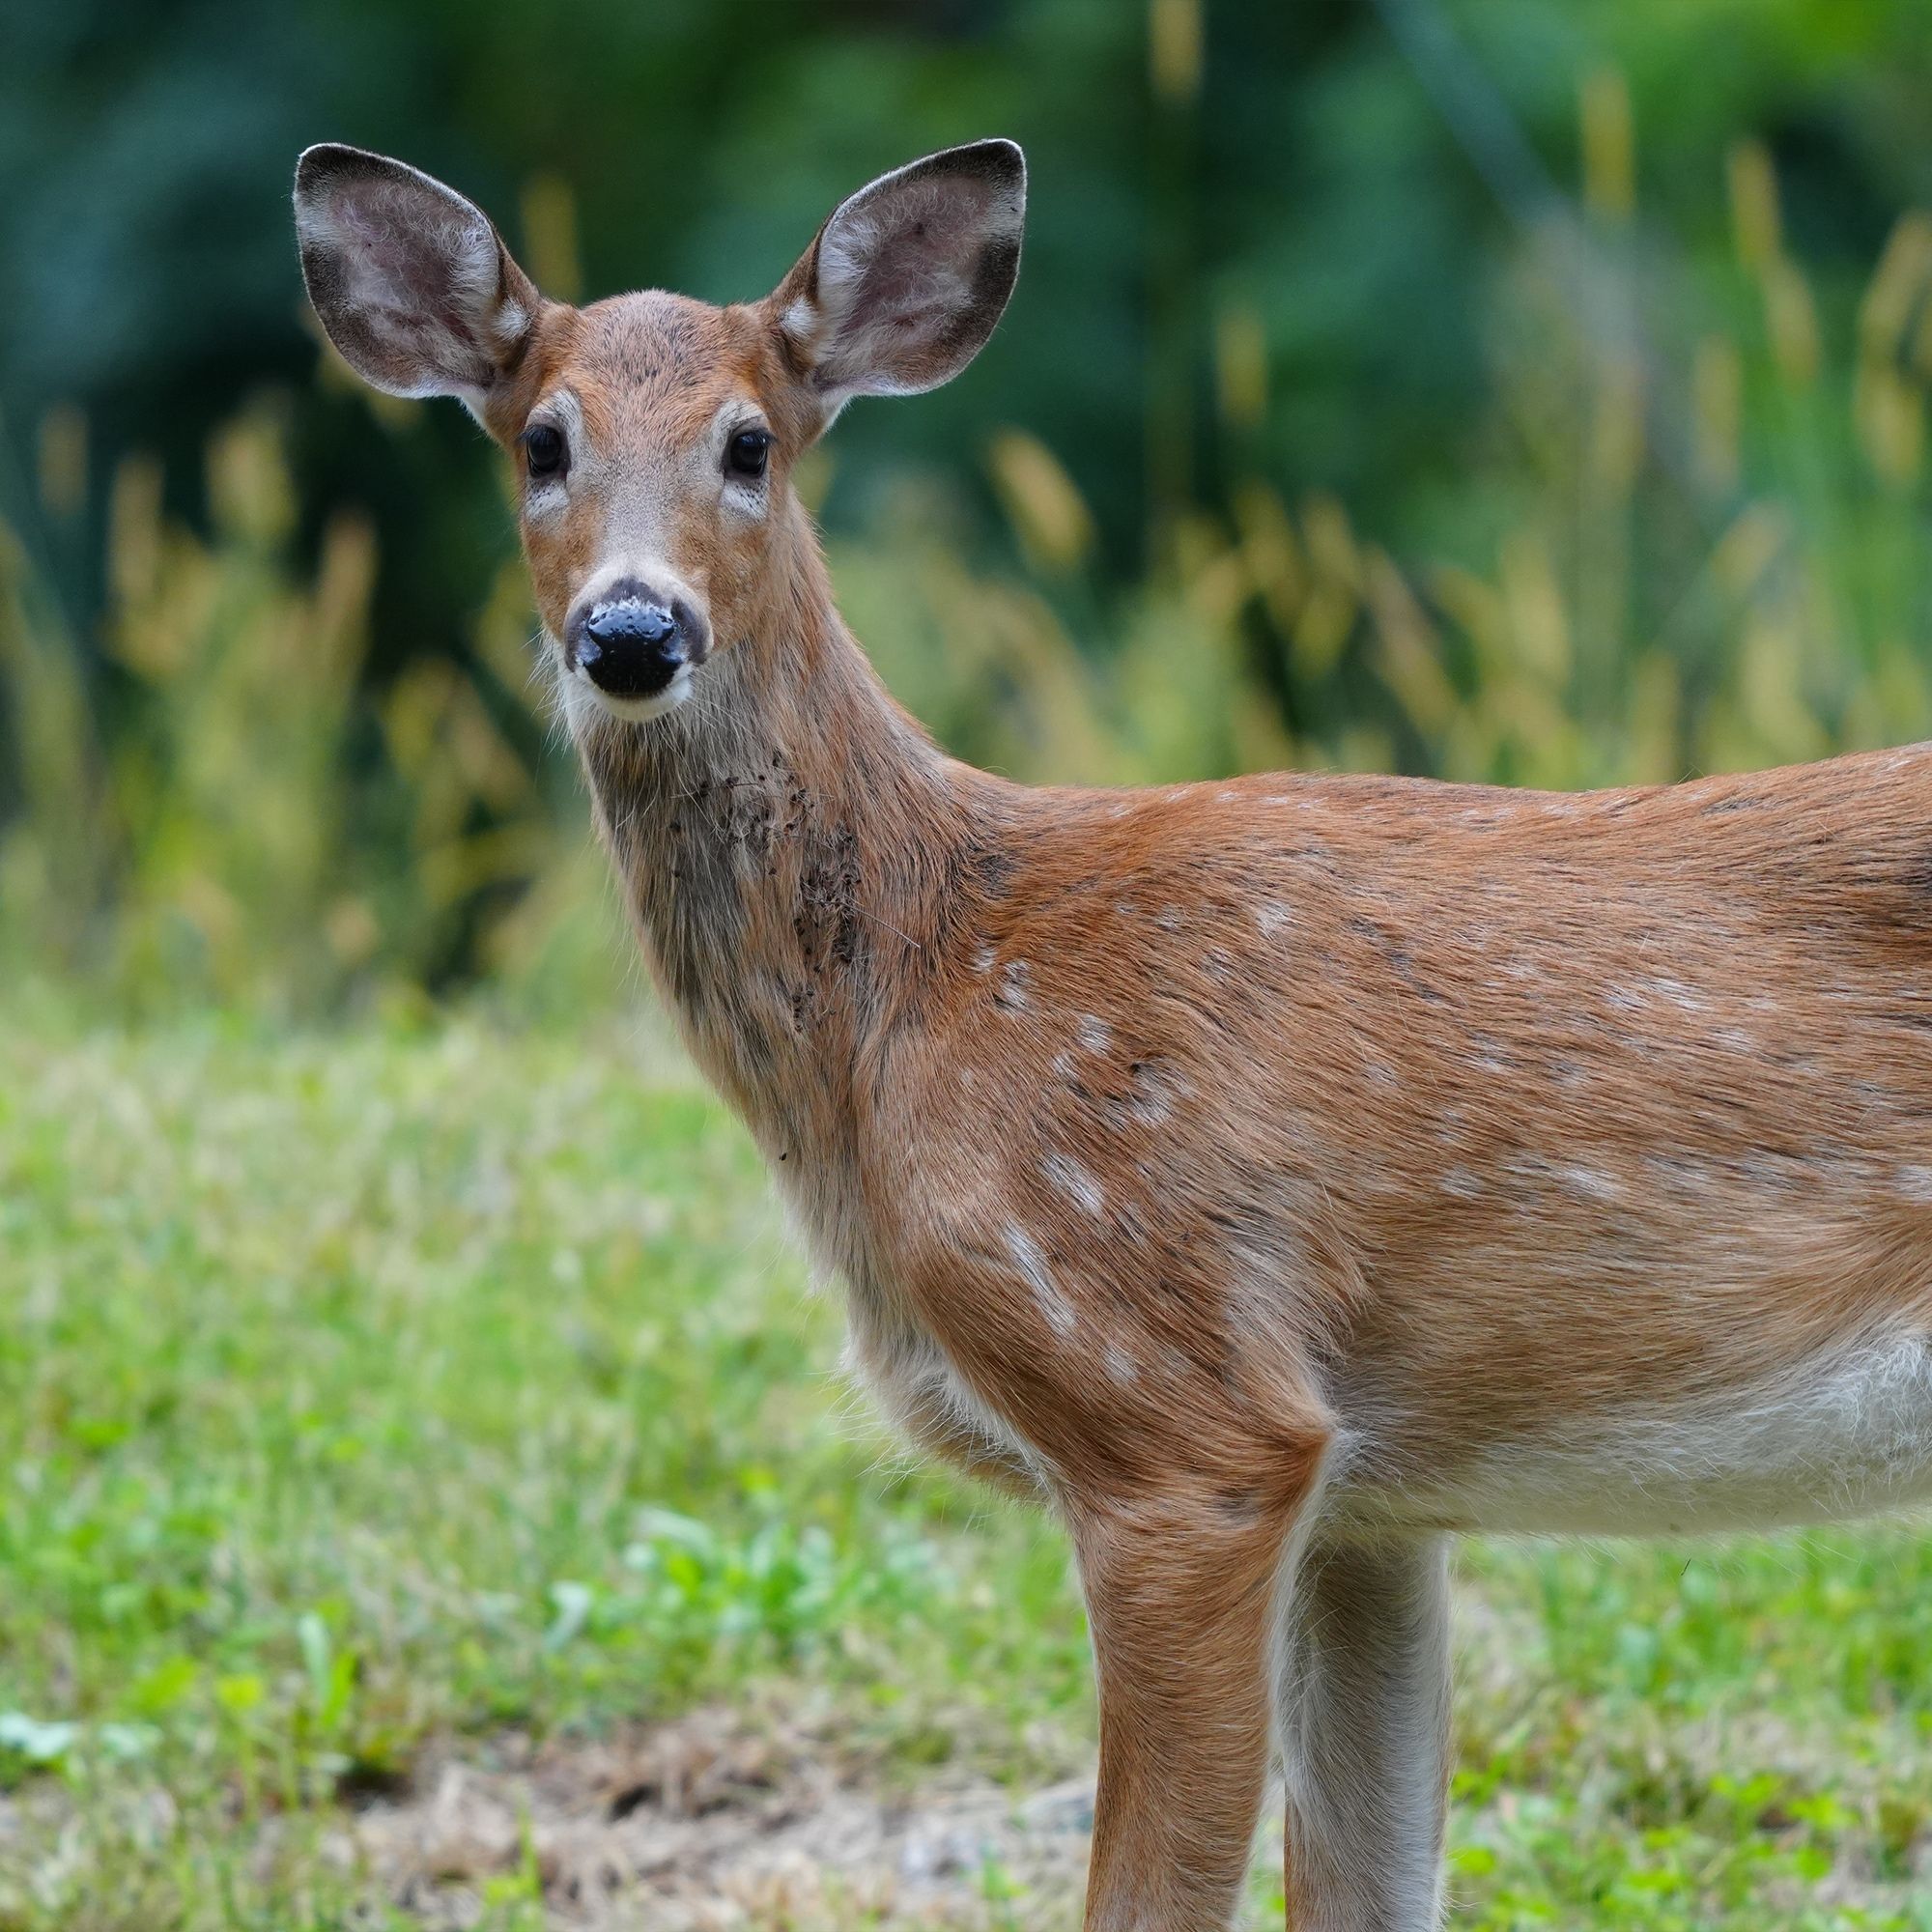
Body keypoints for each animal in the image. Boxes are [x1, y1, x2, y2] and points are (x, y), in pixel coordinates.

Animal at [294, 136, 1932, 1930]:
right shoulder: (1376, 1500)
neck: (920, 997)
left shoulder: (1179, 1409)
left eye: (750, 445)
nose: (633, 632)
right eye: (541, 441)